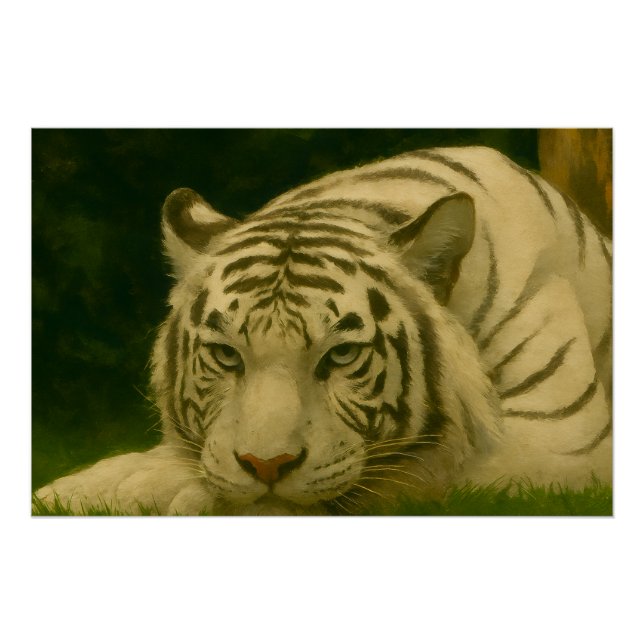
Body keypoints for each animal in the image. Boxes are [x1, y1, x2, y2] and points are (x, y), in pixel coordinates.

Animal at [35, 145, 612, 516]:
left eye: (340, 356)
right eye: (226, 355)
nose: (266, 467)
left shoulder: (562, 445)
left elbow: (421, 471)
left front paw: (173, 493)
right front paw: (81, 490)